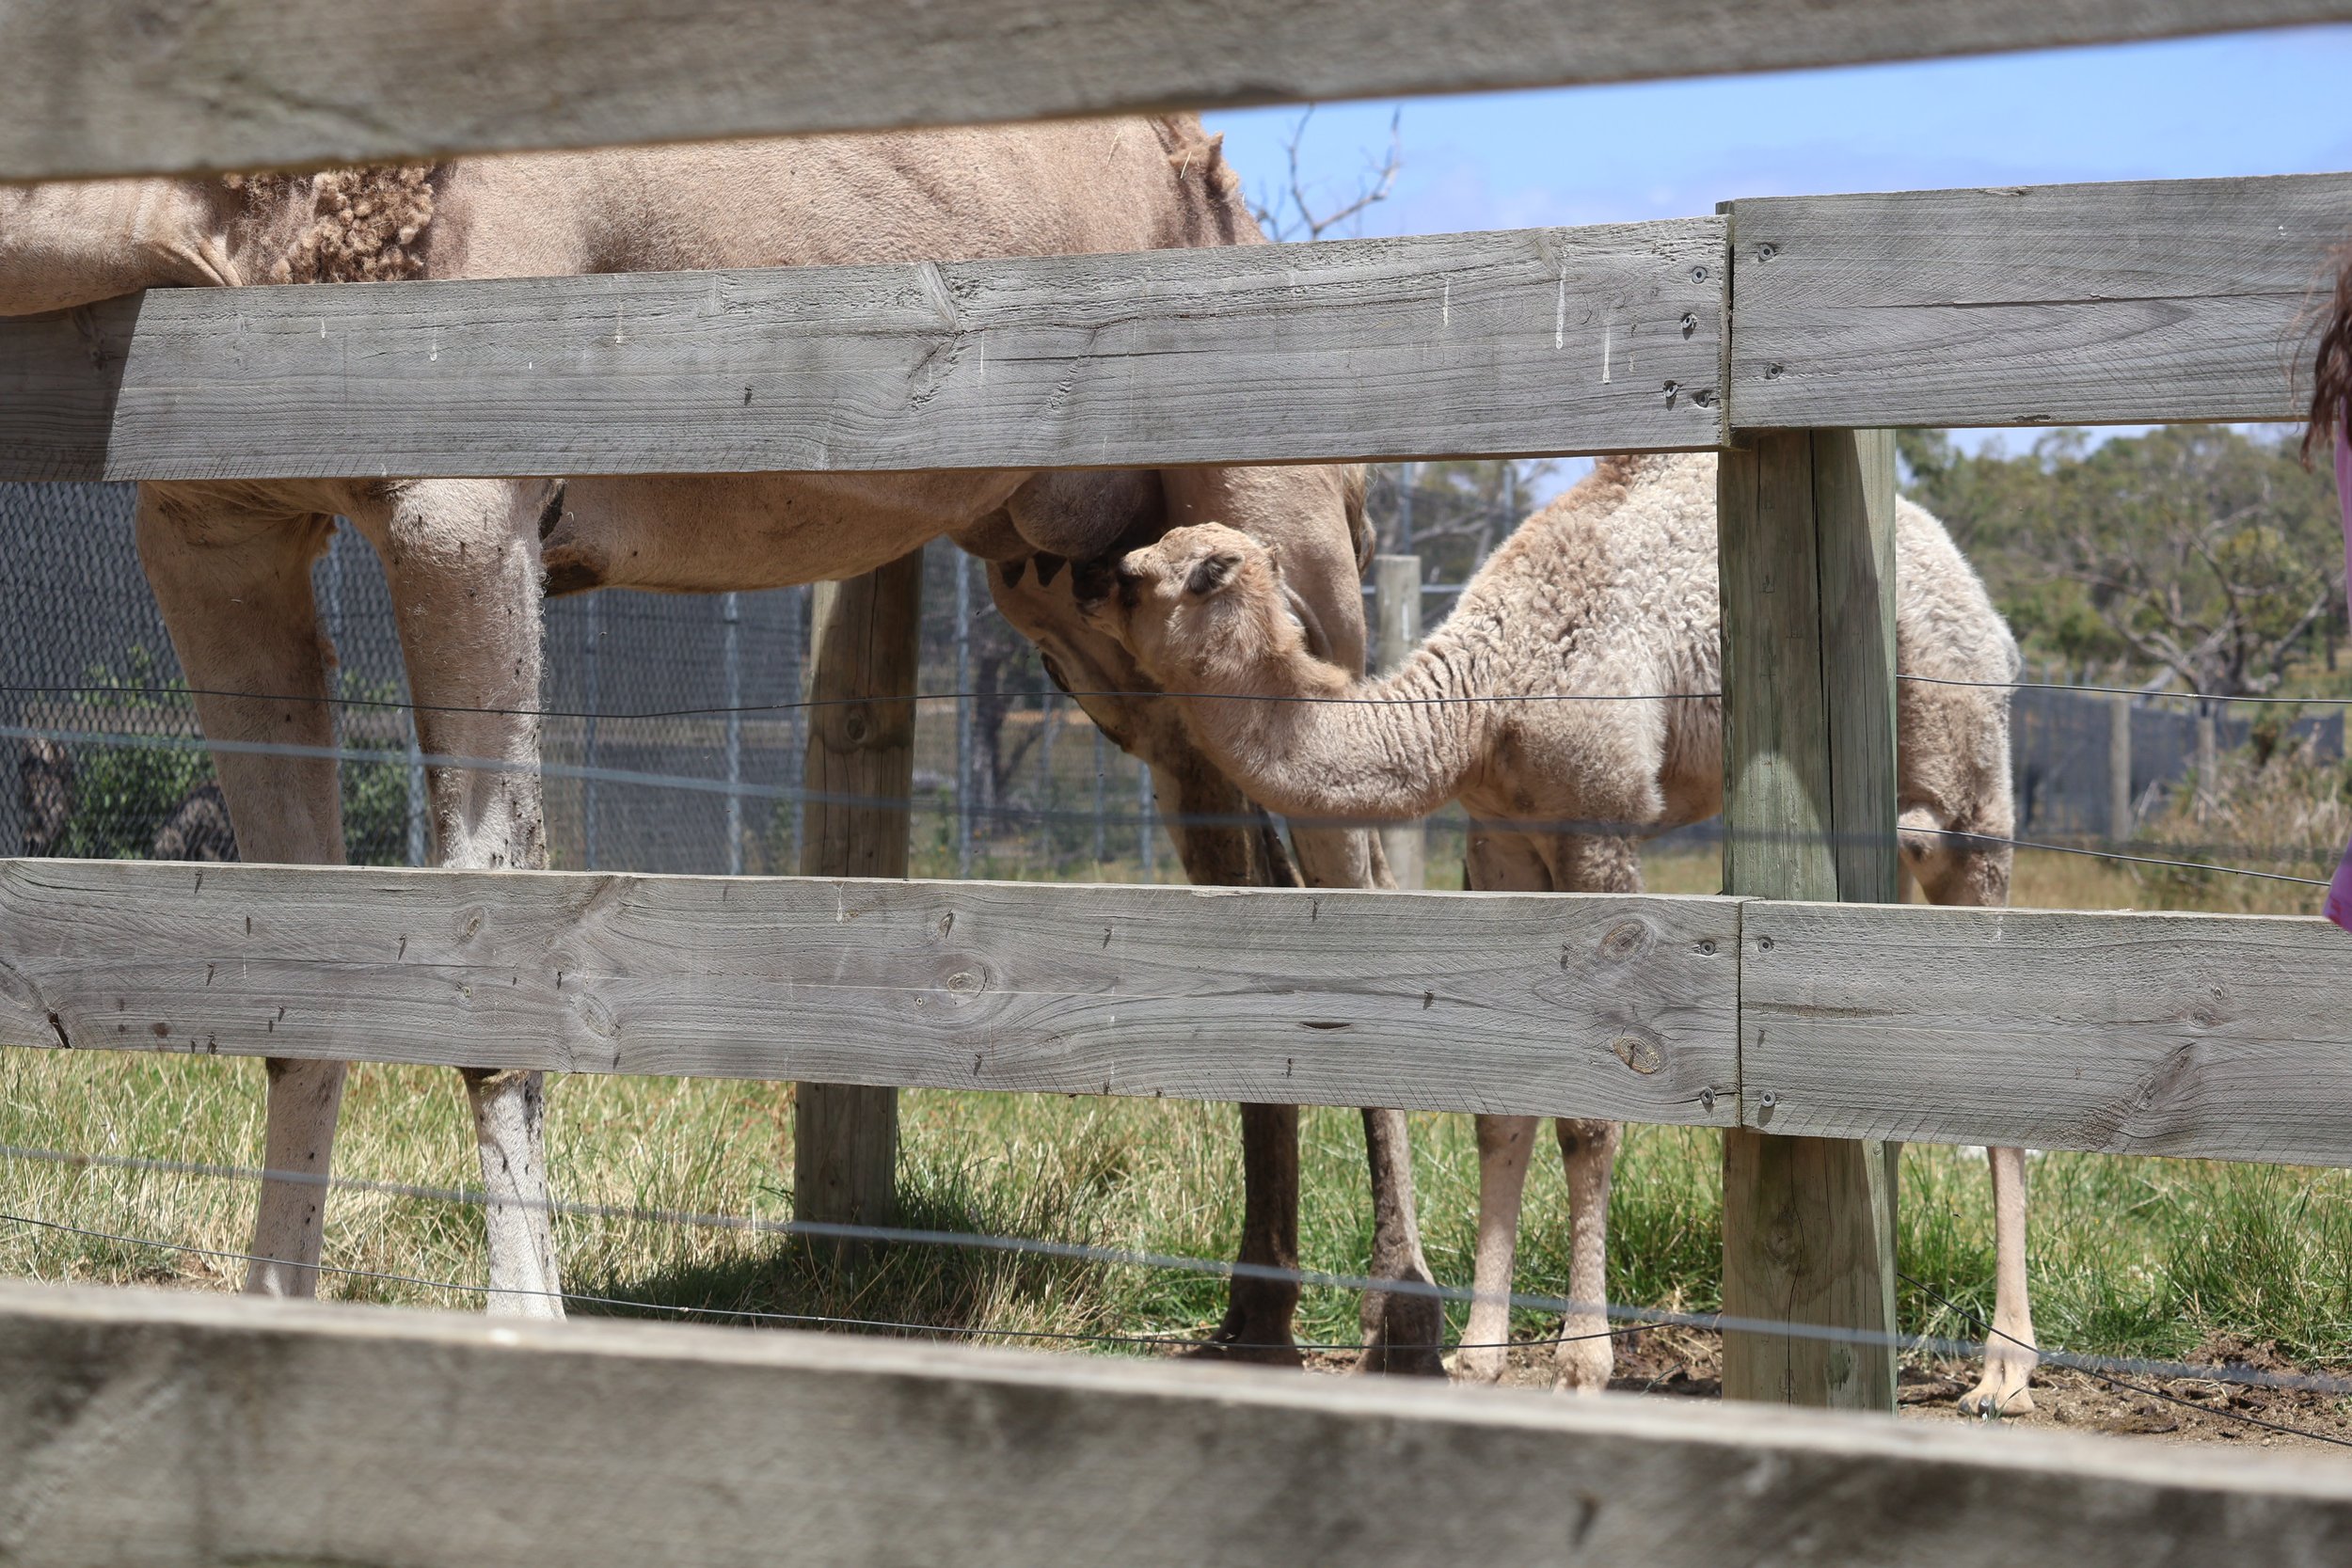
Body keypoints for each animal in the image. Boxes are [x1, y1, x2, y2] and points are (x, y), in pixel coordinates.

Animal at [0, 121, 1445, 1365]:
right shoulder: (212, 525)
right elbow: (283, 964)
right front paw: (266, 1320)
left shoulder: (460, 496)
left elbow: (488, 935)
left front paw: (525, 1330)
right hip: (1098, 584)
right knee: (1234, 845)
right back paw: (1255, 1314)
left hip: (1281, 513)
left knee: (1354, 847)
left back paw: (1409, 1322)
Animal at [1082, 450, 2040, 1413]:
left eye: (1151, 573)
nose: (1088, 584)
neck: (1483, 703)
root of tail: (1984, 608)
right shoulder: (1502, 836)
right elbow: (1502, 1111)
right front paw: (1477, 1355)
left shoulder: (1598, 821)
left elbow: (1591, 1116)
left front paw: (1583, 1364)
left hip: (1966, 783)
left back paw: (2004, 1370)